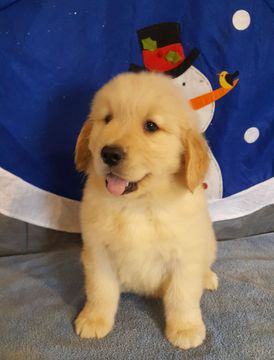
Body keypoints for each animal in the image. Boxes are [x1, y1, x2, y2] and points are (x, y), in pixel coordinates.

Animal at [74, 71, 217, 350]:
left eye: (151, 126)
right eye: (107, 119)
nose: (109, 153)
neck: (138, 204)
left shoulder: (185, 256)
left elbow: (182, 296)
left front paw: (185, 328)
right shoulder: (97, 252)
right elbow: (100, 290)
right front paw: (94, 319)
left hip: (209, 242)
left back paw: (208, 278)